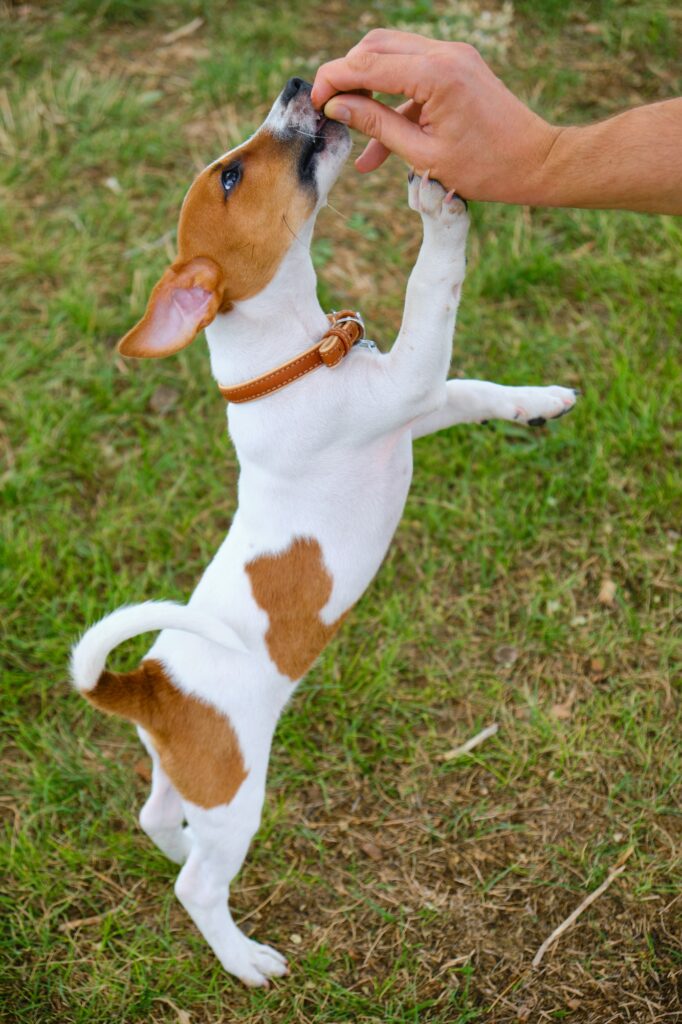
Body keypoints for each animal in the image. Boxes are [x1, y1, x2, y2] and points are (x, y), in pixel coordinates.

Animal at [71, 75, 577, 987]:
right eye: (233, 175)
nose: (297, 84)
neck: (293, 357)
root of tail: (151, 685)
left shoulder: (418, 407)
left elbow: (477, 389)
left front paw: (540, 402)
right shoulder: (408, 383)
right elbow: (434, 289)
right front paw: (439, 211)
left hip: (189, 777)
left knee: (157, 817)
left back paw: (175, 848)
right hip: (237, 793)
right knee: (200, 887)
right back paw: (243, 958)